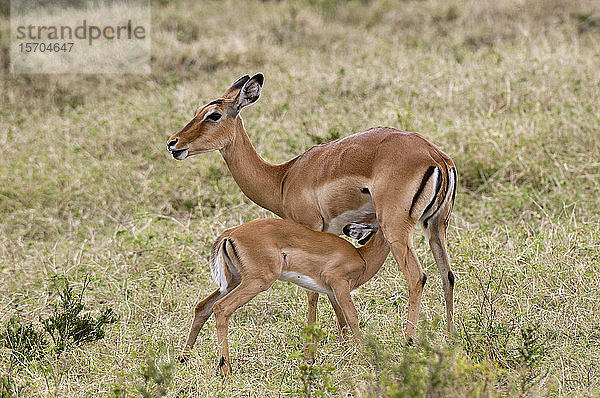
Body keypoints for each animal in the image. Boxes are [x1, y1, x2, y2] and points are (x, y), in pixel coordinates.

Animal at [182, 218, 390, 376]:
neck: (362, 258)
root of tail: (229, 233)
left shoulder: (332, 291)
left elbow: (342, 322)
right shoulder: (339, 284)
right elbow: (352, 317)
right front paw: (365, 358)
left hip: (233, 281)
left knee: (203, 306)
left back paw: (184, 358)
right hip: (257, 282)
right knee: (221, 308)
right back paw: (226, 370)